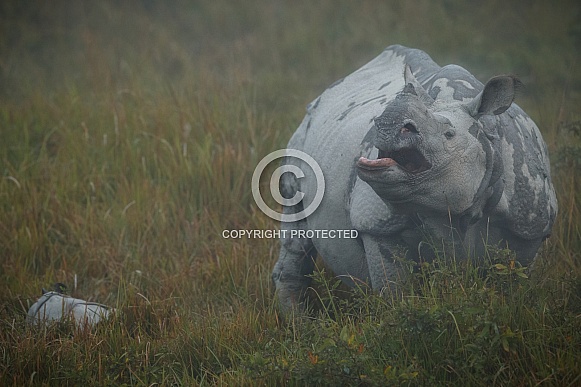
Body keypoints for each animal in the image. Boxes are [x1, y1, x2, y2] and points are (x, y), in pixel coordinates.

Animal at [272, 45, 556, 312]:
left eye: (449, 134)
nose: (386, 122)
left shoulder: (529, 228)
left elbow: (511, 287)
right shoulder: (377, 225)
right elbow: (394, 292)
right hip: (302, 134)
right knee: (296, 230)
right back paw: (299, 323)